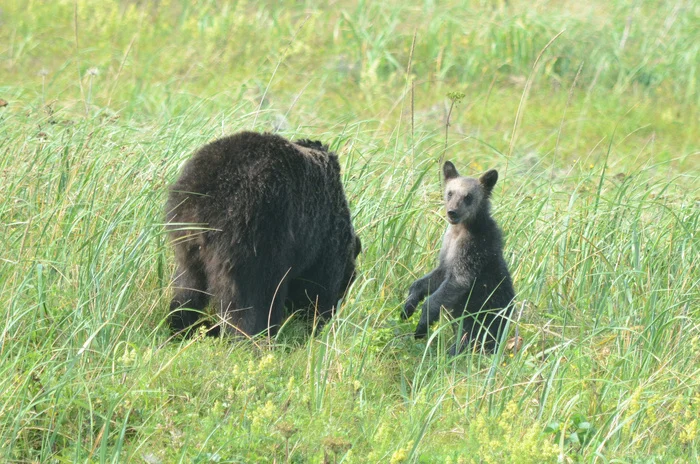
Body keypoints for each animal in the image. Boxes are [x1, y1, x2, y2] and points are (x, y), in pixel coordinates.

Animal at [165, 130, 360, 338]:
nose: (337, 310)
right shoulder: (323, 240)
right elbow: (317, 286)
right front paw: (314, 321)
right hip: (256, 232)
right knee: (254, 295)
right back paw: (252, 334)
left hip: (185, 237)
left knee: (188, 283)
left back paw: (180, 324)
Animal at [402, 161, 512, 354]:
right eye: (450, 192)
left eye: (468, 196)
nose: (452, 212)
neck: (462, 229)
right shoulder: (447, 250)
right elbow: (431, 278)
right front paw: (408, 306)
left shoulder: (473, 250)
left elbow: (457, 283)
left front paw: (422, 326)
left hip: (483, 319)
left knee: (470, 337)